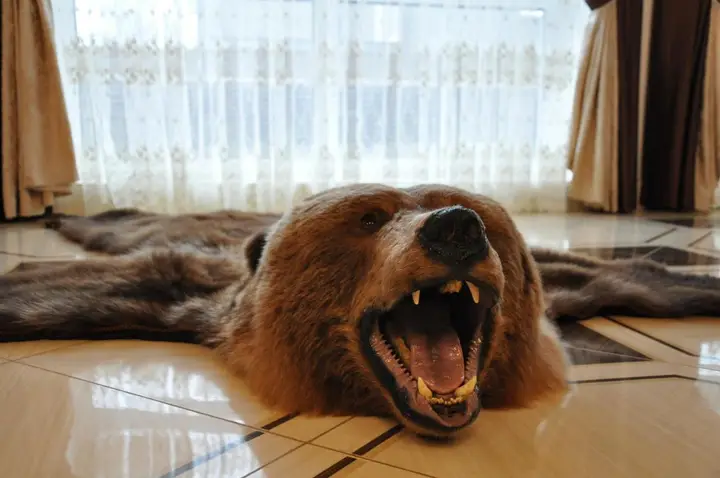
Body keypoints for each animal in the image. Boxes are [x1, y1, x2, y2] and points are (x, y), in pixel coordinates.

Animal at [2, 183, 720, 438]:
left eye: (478, 212)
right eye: (370, 219)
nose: (455, 226)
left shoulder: (547, 296)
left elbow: (627, 279)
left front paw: (699, 283)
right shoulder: (185, 295)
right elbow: (68, 293)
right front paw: (25, 277)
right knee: (126, 223)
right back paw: (63, 213)